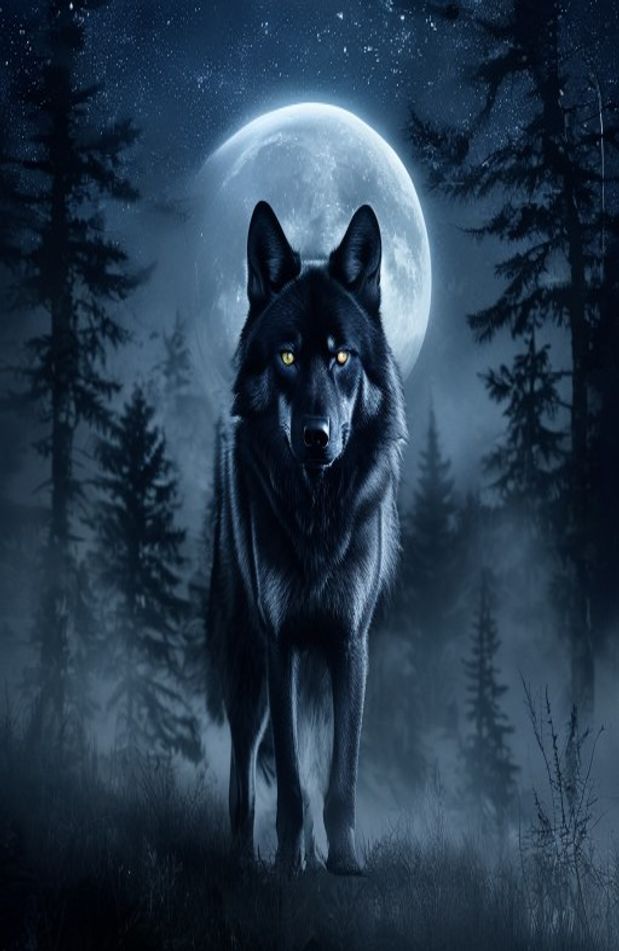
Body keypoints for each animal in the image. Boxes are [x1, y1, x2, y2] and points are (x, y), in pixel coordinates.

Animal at [206, 200, 406, 874]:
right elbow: (292, 776)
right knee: (244, 762)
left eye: (342, 357)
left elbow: (338, 775)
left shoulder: (348, 642)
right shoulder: (281, 642)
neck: (318, 517)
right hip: (242, 654)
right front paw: (288, 863)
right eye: (289, 358)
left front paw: (343, 862)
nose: (316, 437)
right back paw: (244, 855)